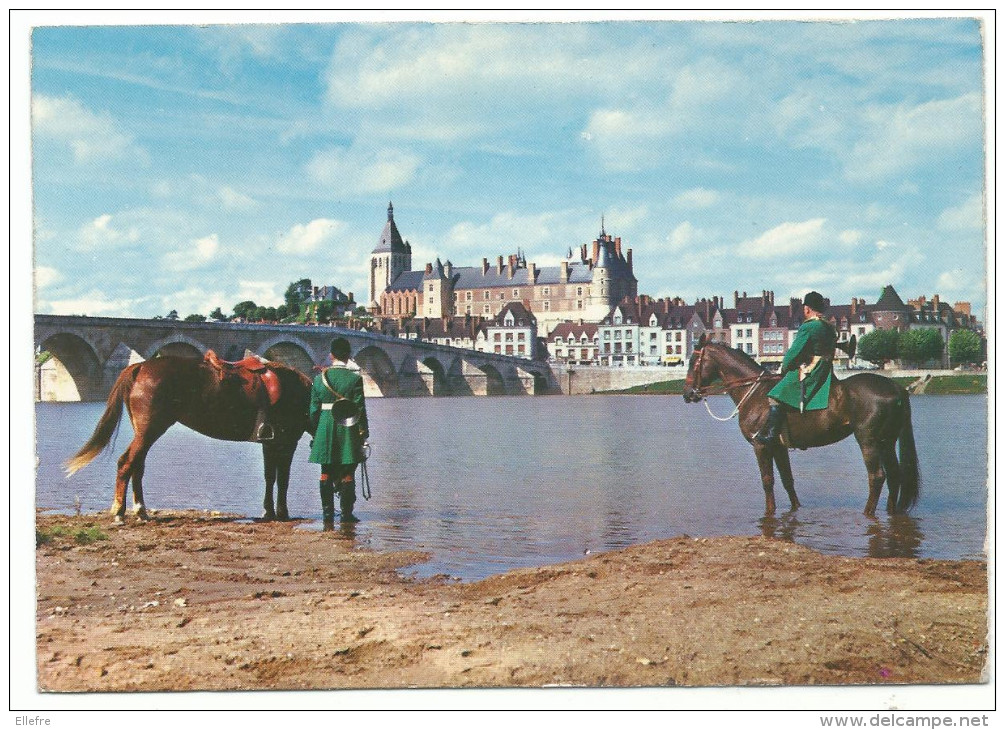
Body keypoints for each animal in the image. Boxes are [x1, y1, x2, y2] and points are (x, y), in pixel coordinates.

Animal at [67, 355, 309, 522]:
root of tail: (141, 367)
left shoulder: (271, 444)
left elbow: (270, 477)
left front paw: (269, 511)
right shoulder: (286, 444)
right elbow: (282, 479)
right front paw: (282, 512)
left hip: (144, 434)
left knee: (137, 466)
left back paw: (141, 511)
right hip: (149, 431)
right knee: (127, 463)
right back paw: (119, 512)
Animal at [683, 333, 920, 518]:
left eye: (693, 361)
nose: (687, 394)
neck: (756, 393)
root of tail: (895, 387)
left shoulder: (762, 446)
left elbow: (767, 480)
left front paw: (769, 512)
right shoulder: (778, 447)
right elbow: (787, 480)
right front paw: (795, 507)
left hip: (868, 440)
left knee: (877, 477)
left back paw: (868, 512)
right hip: (886, 442)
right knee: (895, 475)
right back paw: (890, 511)